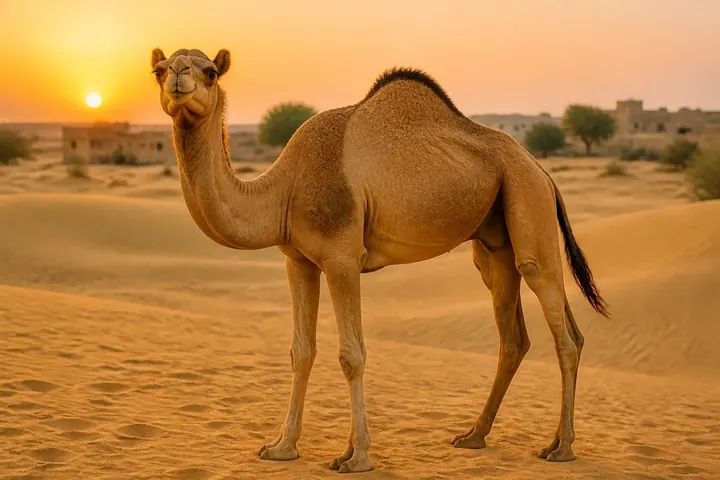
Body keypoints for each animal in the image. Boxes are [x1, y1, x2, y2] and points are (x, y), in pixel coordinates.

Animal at [150, 47, 609, 474]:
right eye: (158, 69)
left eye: (211, 71)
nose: (178, 76)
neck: (284, 189)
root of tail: (542, 170)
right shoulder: (297, 261)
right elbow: (301, 351)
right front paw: (281, 447)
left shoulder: (341, 258)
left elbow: (351, 355)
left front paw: (356, 457)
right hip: (495, 247)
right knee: (516, 335)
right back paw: (474, 436)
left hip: (528, 203)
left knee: (562, 330)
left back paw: (561, 448)